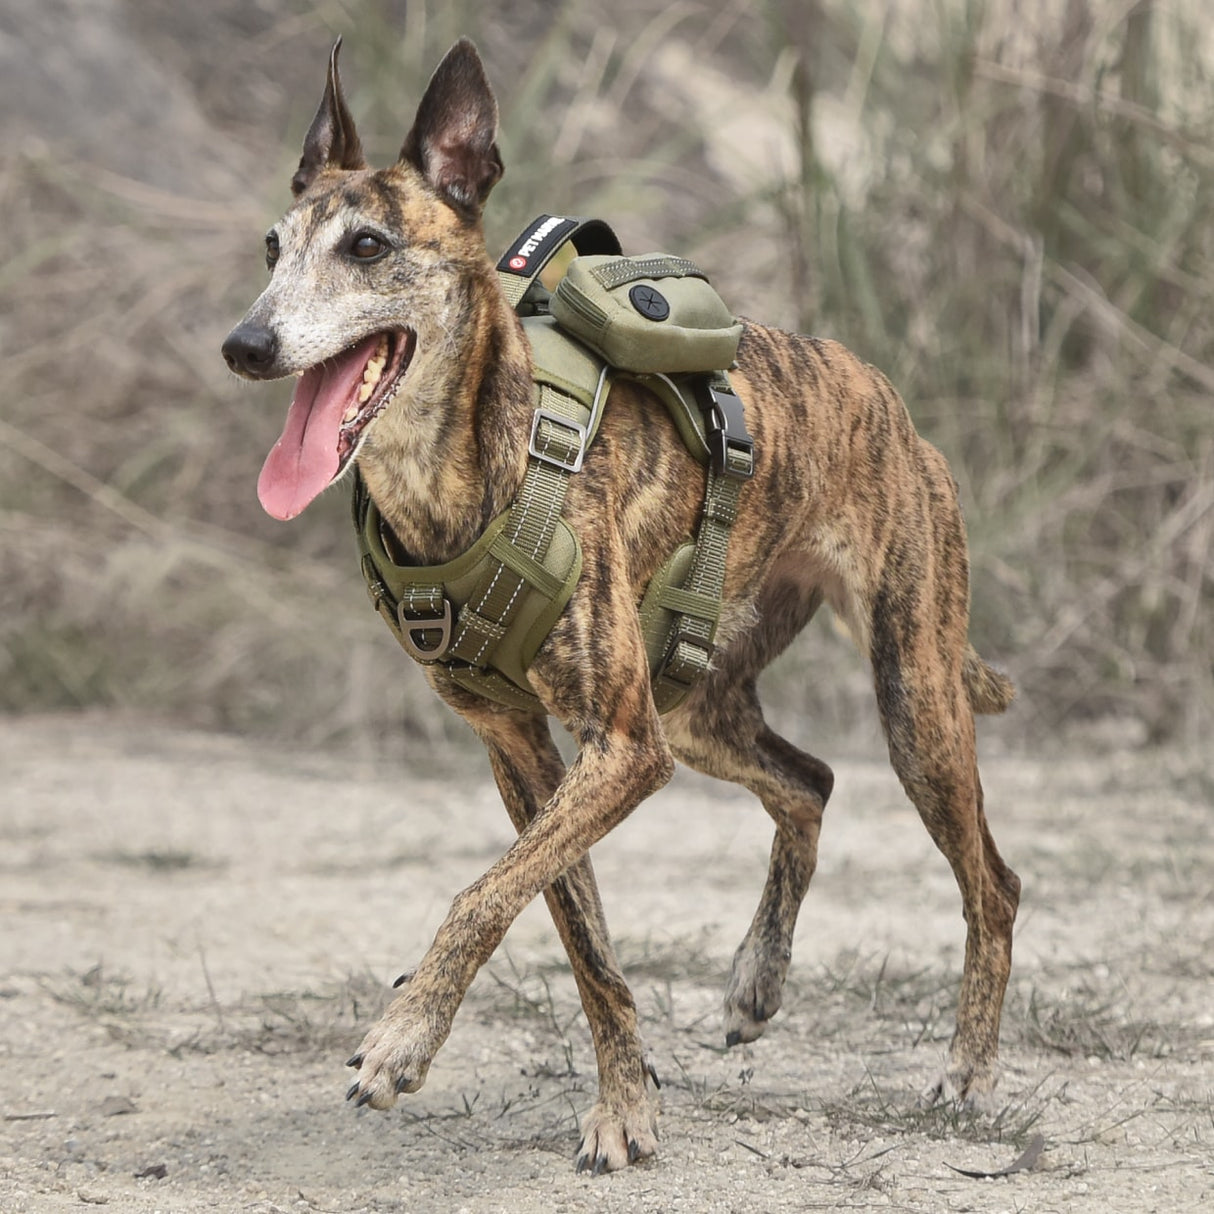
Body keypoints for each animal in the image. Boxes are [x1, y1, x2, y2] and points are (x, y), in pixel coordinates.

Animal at [223, 37, 1019, 1175]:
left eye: (368, 245)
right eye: (270, 247)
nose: (245, 345)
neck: (473, 467)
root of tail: (887, 398)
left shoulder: (621, 747)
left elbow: (483, 892)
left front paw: (405, 1034)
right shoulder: (531, 756)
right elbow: (575, 930)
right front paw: (626, 1103)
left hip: (912, 694)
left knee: (989, 882)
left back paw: (967, 1069)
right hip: (696, 705)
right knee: (809, 781)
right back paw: (757, 977)